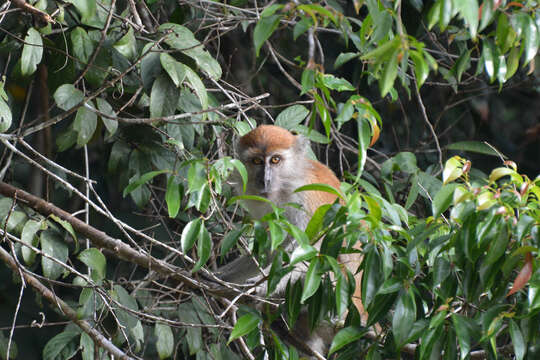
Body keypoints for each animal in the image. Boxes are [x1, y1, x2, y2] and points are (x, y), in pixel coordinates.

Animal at [217, 124, 364, 358]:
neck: (286, 183)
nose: (265, 180)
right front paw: (215, 276)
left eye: (275, 160)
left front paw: (262, 282)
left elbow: (311, 251)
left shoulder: (304, 199)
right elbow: (270, 251)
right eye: (257, 161)